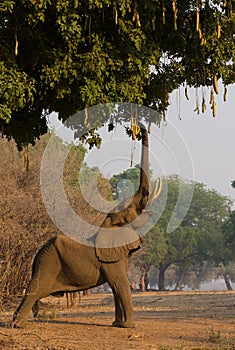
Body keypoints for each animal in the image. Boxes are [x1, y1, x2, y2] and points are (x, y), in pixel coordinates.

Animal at [12, 122, 162, 328]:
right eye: (128, 210)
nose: (137, 126)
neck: (106, 224)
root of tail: (36, 257)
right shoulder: (111, 259)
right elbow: (120, 284)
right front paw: (129, 326)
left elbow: (116, 287)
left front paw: (117, 324)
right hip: (48, 263)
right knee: (35, 289)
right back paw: (18, 325)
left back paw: (17, 322)